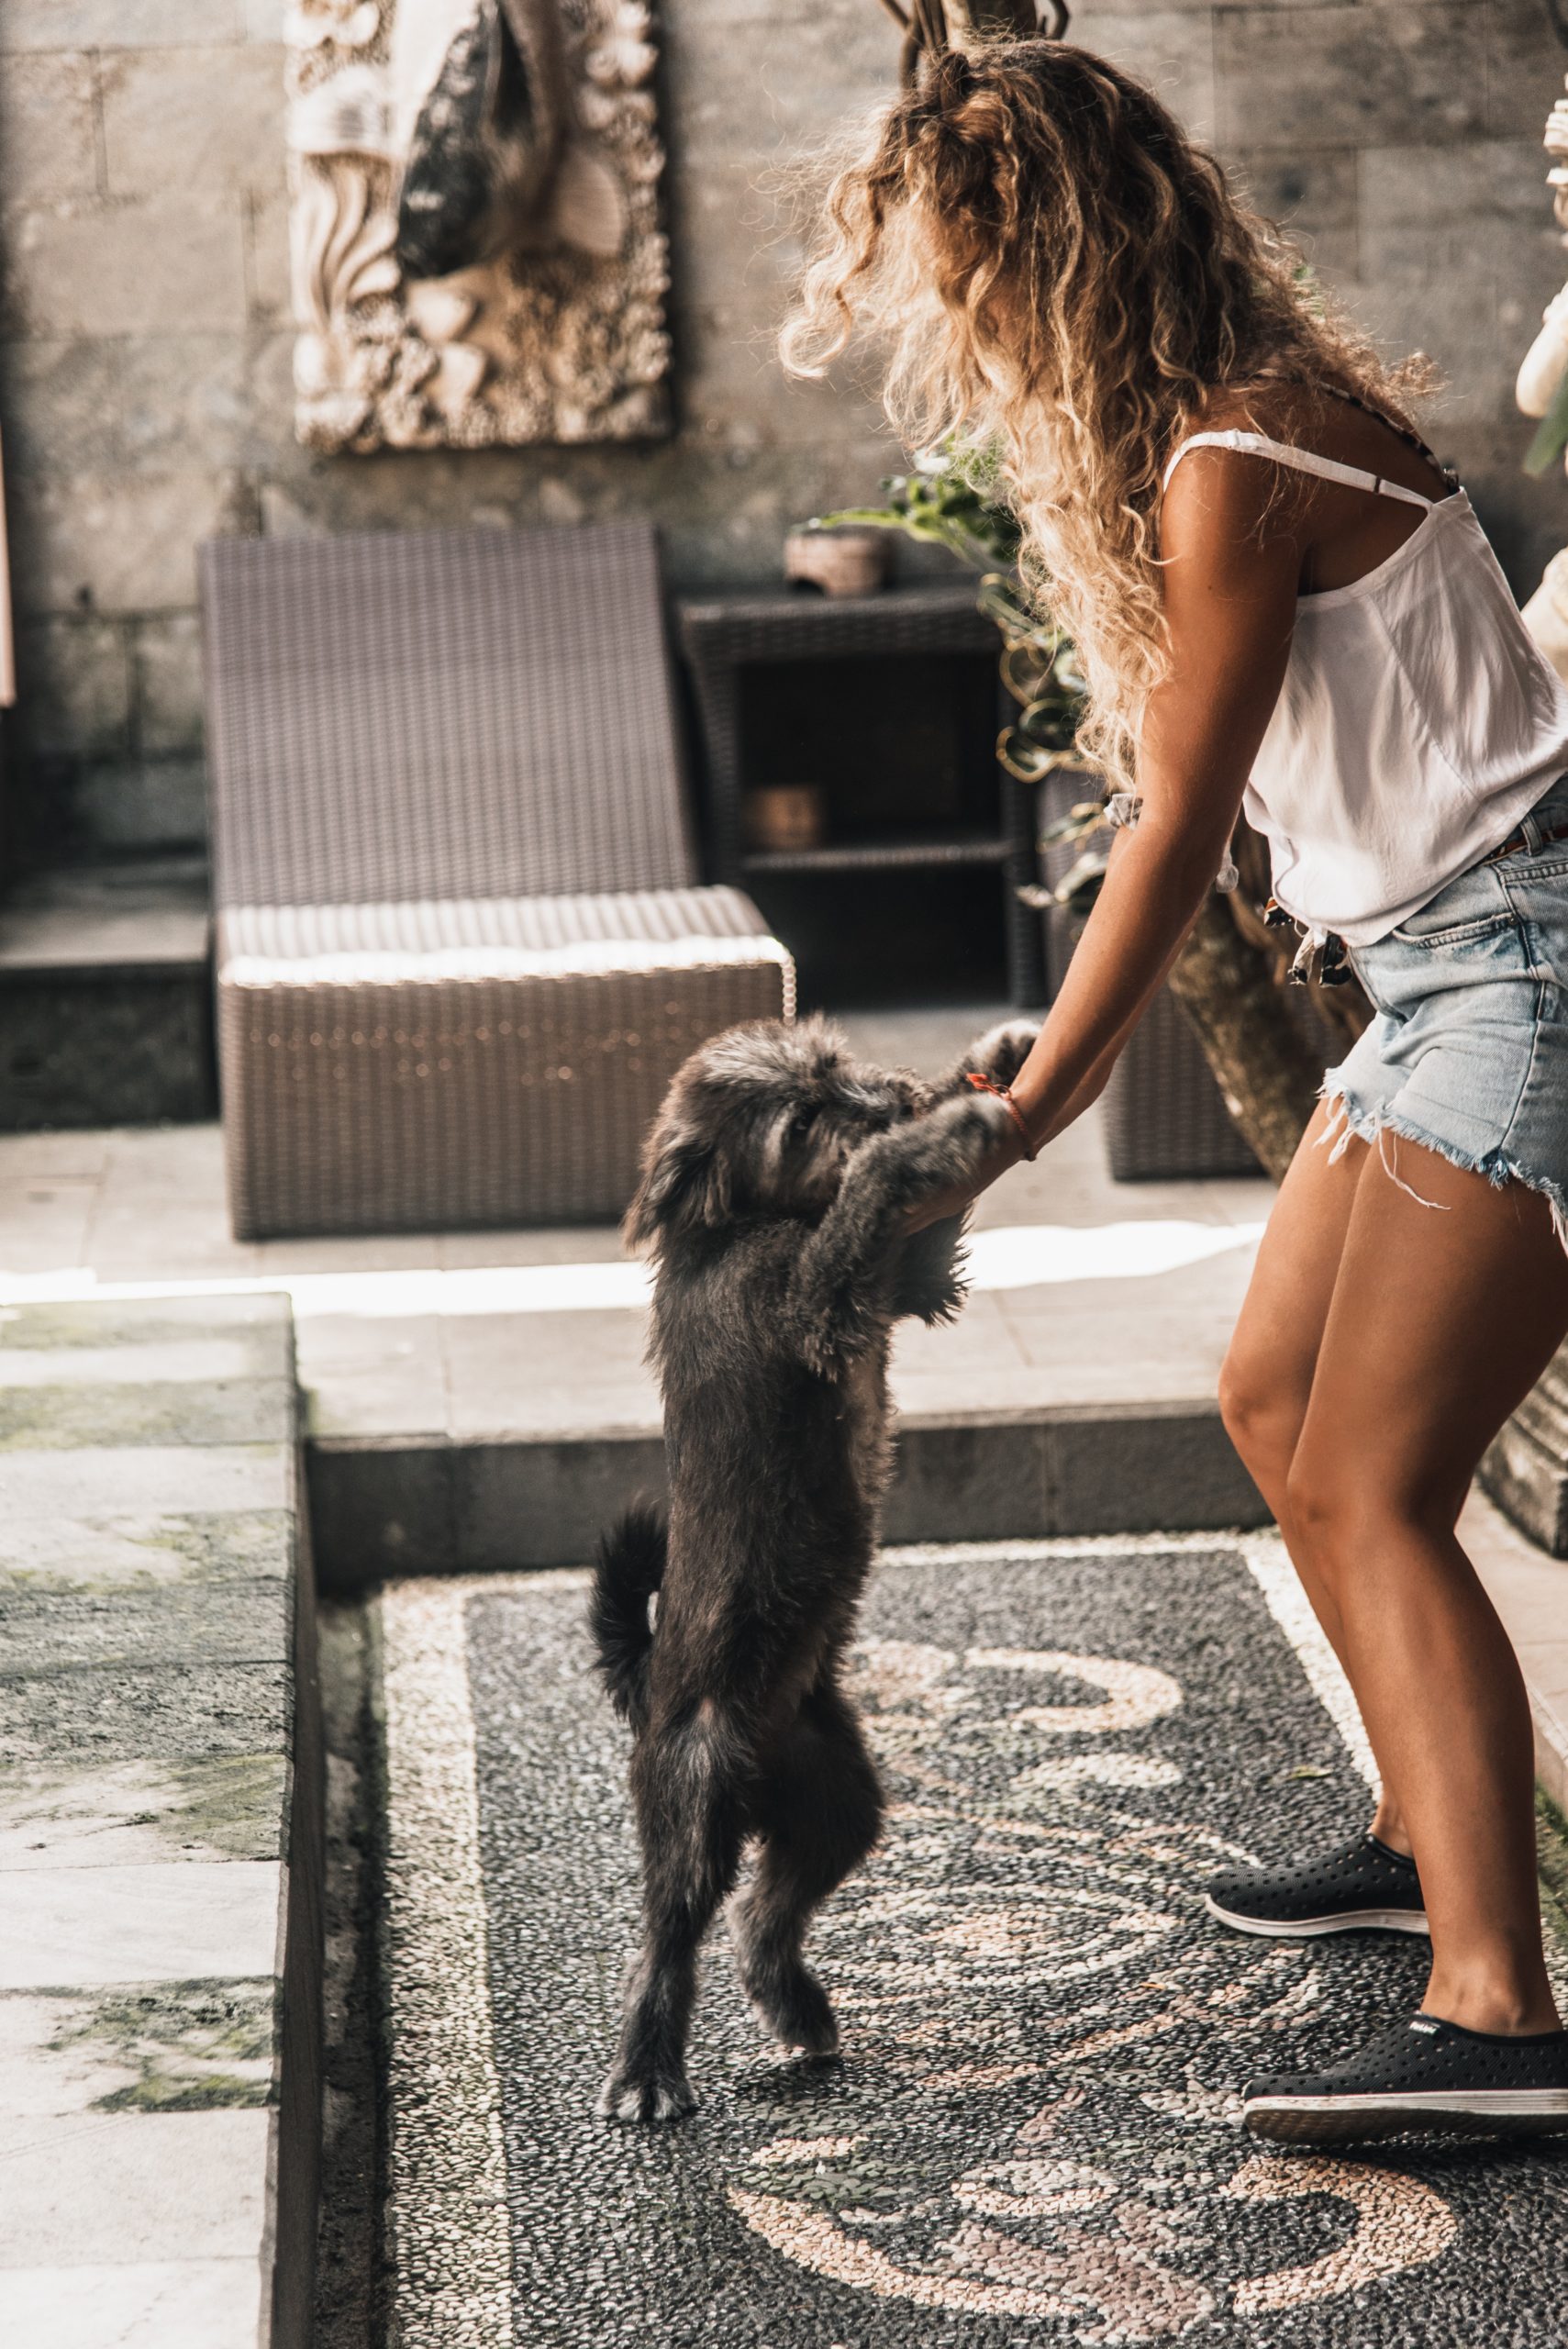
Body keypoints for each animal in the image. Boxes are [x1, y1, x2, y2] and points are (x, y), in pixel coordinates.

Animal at [582, 1014, 1032, 2132]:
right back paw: (646, 2072)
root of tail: (649, 1686)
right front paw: (946, 1124)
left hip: (835, 1806)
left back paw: (795, 2007)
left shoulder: (903, 1280)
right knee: (668, 1940)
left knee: (763, 1915)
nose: (888, 1096)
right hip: (695, 1801)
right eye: (797, 1123)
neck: (735, 1224)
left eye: (832, 1063)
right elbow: (869, 1186)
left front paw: (994, 1058)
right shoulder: (822, 1293)